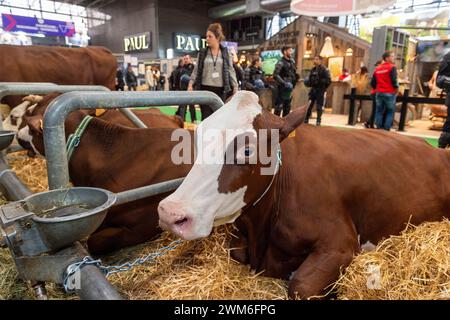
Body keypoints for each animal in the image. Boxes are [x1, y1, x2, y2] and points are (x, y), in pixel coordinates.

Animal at [160, 90, 450, 300]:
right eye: (197, 137)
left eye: (247, 150)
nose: (170, 213)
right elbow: (237, 253)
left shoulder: (340, 243)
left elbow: (301, 285)